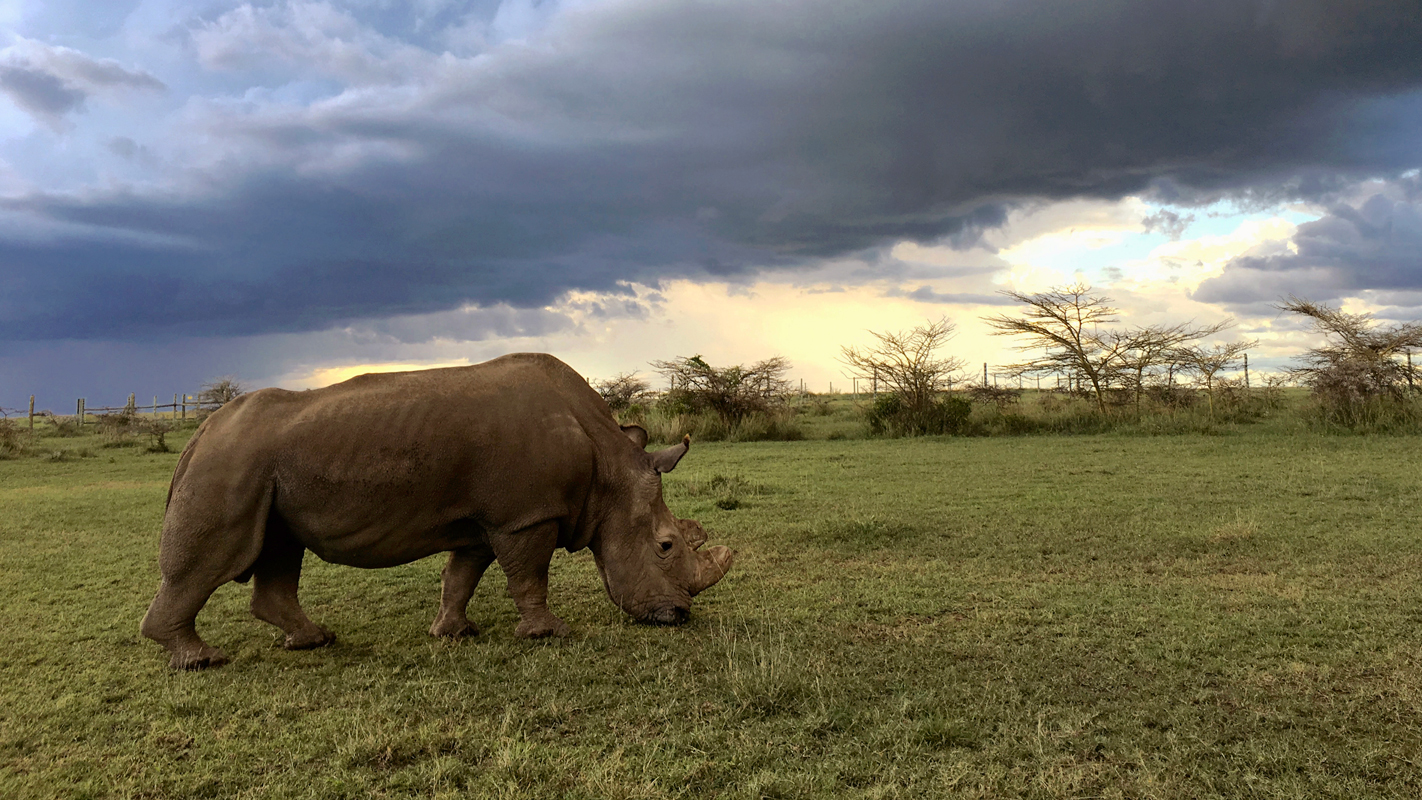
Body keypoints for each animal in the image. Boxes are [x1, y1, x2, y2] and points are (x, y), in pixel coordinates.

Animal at [140, 353, 734, 669]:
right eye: (666, 546)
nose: (679, 616)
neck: (610, 472)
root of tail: (200, 431)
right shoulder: (527, 516)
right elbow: (529, 576)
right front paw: (549, 634)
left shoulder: (483, 521)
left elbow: (462, 575)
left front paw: (454, 633)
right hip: (230, 462)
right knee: (216, 560)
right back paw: (203, 661)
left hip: (263, 471)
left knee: (281, 549)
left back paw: (314, 641)